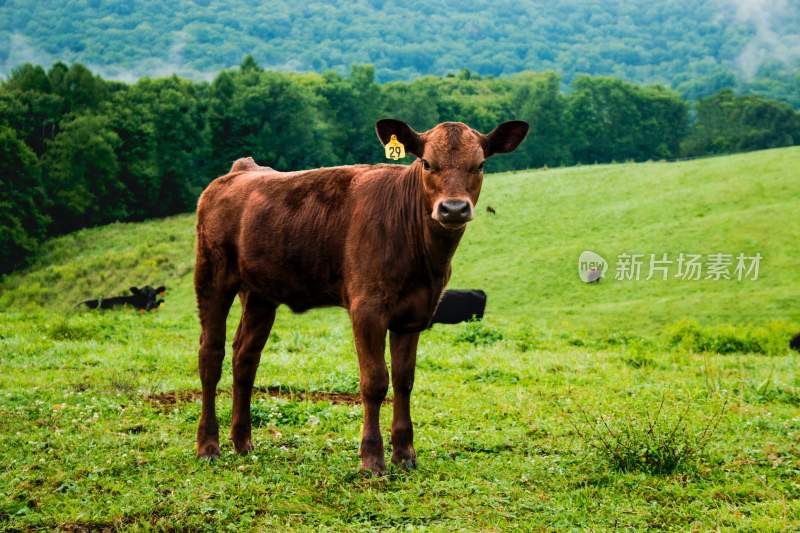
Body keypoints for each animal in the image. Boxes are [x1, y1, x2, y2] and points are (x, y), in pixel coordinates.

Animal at [195, 118, 528, 472]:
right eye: (427, 163)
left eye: (479, 165)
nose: (453, 209)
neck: (422, 255)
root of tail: (241, 171)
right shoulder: (367, 308)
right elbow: (375, 381)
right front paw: (372, 458)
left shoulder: (413, 314)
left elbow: (404, 380)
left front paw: (405, 453)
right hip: (212, 277)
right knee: (211, 356)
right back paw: (208, 445)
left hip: (260, 294)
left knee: (245, 358)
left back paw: (242, 442)